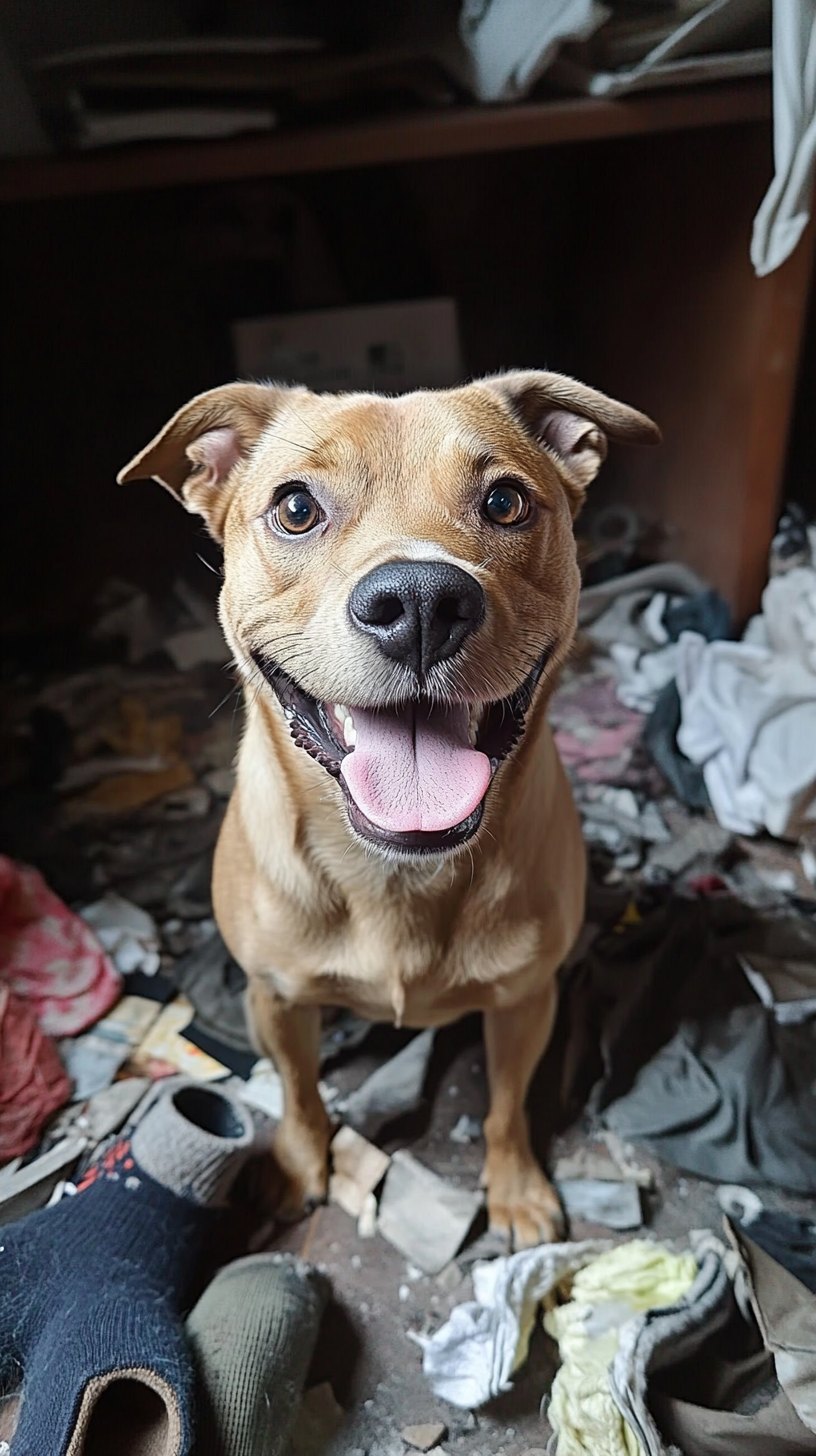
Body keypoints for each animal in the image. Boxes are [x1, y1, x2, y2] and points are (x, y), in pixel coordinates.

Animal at [119, 369, 655, 1246]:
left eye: (505, 501)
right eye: (296, 508)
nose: (422, 603)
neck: (395, 872)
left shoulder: (525, 1000)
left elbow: (507, 1106)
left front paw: (513, 1185)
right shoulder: (275, 997)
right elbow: (300, 1093)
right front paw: (301, 1166)